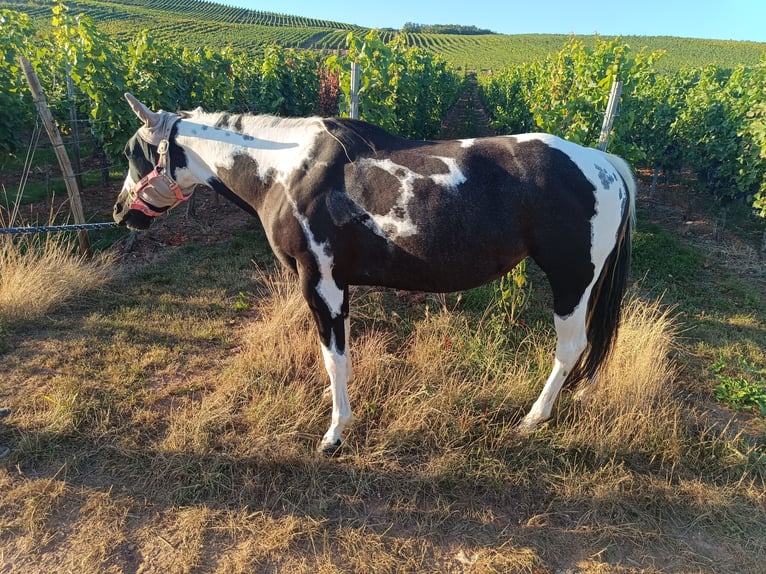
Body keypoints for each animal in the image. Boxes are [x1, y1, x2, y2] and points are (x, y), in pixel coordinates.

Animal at [113, 93, 635, 455]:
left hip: (572, 281)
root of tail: (602, 163)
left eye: (132, 152)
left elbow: (334, 361)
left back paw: (534, 417)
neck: (286, 169)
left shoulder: (320, 284)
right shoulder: (338, 286)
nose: (121, 212)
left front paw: (335, 434)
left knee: (571, 347)